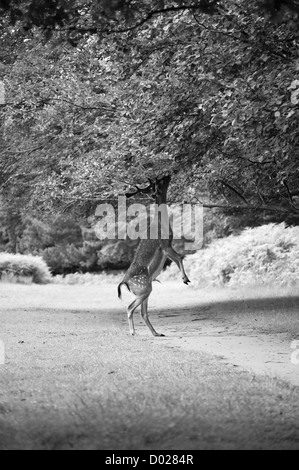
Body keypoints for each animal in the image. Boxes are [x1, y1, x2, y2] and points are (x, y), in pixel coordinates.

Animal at [118, 174, 191, 336]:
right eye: (161, 181)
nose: (168, 174)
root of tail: (124, 282)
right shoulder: (165, 244)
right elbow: (179, 257)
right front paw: (185, 279)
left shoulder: (167, 248)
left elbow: (178, 259)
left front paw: (186, 279)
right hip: (143, 289)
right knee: (130, 308)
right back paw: (133, 332)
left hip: (146, 290)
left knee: (143, 312)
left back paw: (156, 333)